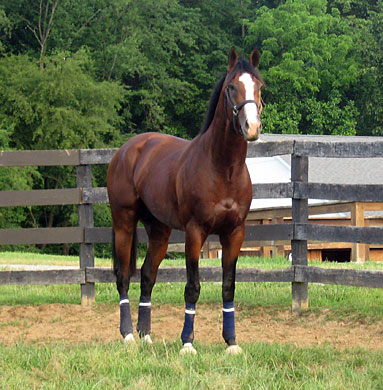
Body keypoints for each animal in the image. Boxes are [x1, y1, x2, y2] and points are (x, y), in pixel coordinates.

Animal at [108, 47, 264, 354]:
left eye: (259, 86)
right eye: (231, 87)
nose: (251, 127)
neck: (223, 168)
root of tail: (127, 150)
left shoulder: (235, 233)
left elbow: (228, 286)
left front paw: (231, 343)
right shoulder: (195, 232)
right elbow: (193, 287)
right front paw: (187, 343)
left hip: (159, 230)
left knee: (147, 275)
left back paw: (146, 335)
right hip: (124, 224)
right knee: (123, 277)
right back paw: (129, 335)